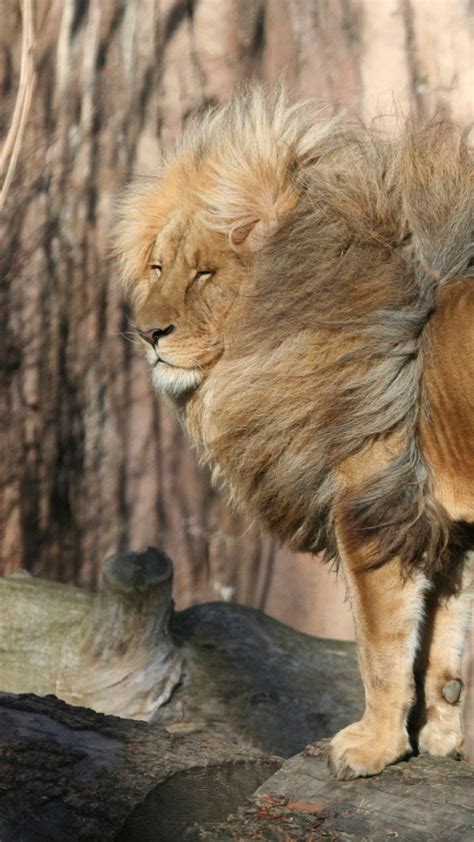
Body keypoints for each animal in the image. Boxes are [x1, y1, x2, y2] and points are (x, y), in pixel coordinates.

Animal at [112, 89, 473, 779]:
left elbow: (380, 650)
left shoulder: (373, 509)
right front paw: (438, 742)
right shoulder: (441, 524)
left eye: (204, 273)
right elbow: (442, 650)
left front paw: (371, 747)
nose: (147, 333)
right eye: (158, 267)